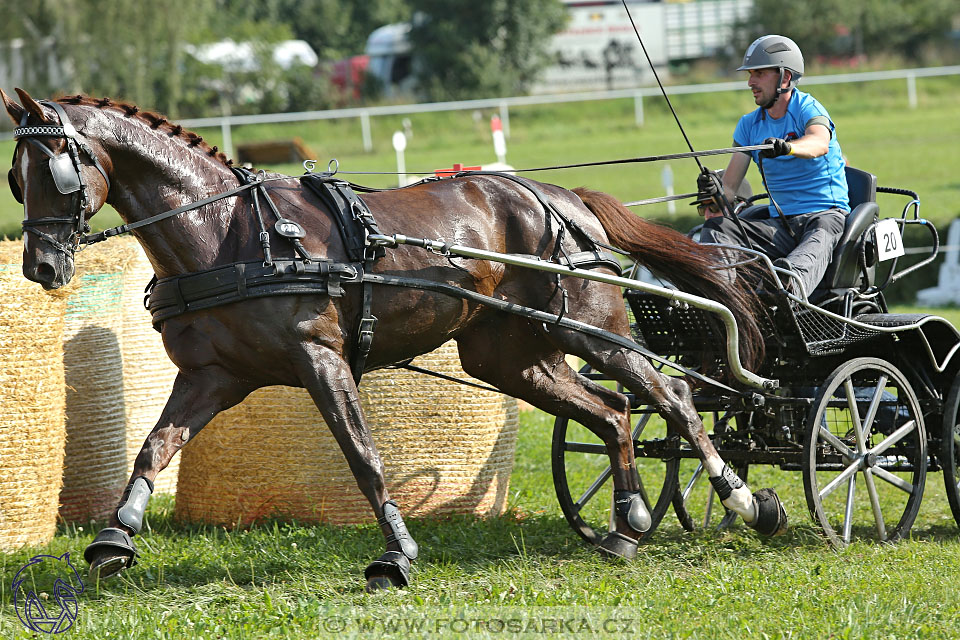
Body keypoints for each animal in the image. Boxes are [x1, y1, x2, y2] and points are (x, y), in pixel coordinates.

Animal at [3, 87, 788, 592]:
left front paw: (398, 554)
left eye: (56, 170)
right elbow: (154, 445)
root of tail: (559, 197)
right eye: (16, 176)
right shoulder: (212, 376)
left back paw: (745, 501)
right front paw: (115, 536)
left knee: (673, 396)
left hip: (594, 330)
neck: (230, 232)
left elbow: (363, 456)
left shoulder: (319, 359)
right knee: (615, 413)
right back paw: (627, 526)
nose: (41, 267)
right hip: (514, 356)